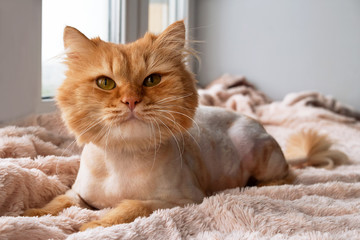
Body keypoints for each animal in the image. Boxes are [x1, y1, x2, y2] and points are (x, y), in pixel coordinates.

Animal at [22, 20, 344, 231]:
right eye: (105, 83)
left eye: (152, 80)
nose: (130, 101)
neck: (123, 156)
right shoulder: (79, 195)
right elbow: (55, 204)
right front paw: (28, 214)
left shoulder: (181, 200)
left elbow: (130, 206)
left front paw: (90, 226)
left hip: (258, 152)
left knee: (286, 176)